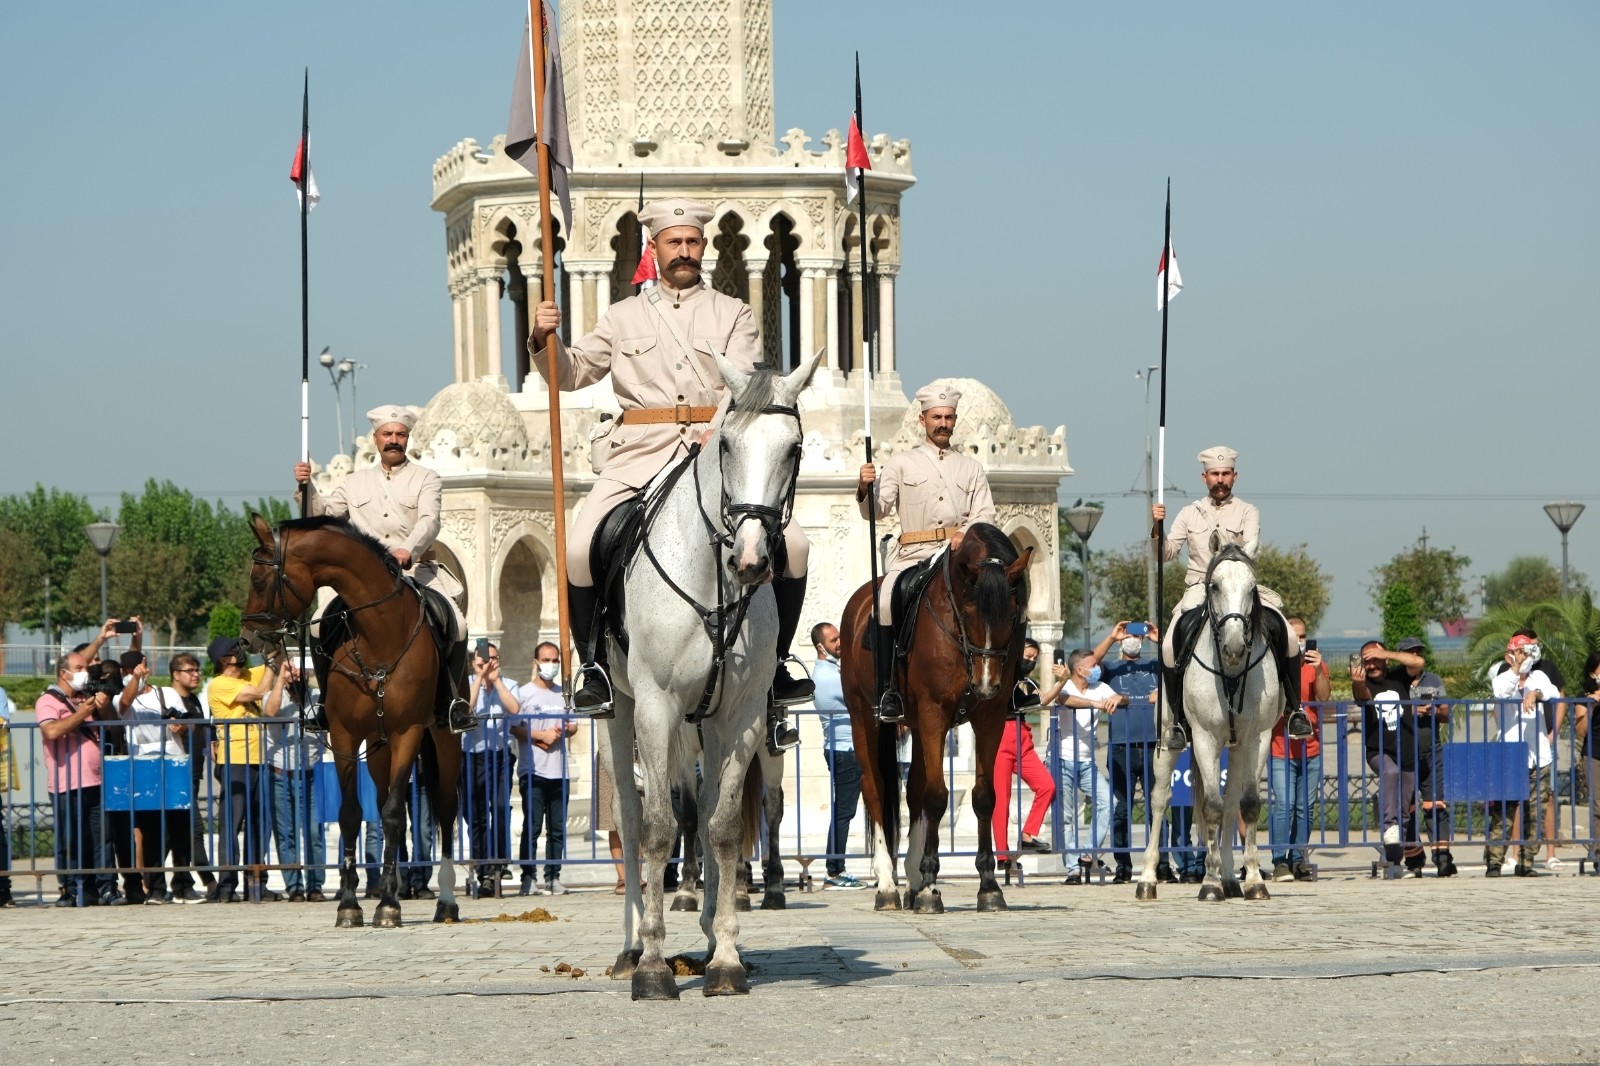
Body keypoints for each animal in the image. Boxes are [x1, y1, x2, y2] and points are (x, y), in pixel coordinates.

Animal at [236, 512, 467, 921]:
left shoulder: (408, 732)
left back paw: (445, 901)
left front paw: (388, 905)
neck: (380, 634)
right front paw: (349, 903)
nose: (248, 639)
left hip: (443, 737)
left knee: (444, 807)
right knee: (384, 800)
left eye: (259, 579)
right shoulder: (345, 735)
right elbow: (351, 813)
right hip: (377, 745)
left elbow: (394, 814)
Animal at [601, 352, 819, 992]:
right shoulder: (655, 707)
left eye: (794, 448)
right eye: (725, 443)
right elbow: (656, 826)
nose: (750, 558)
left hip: (712, 726)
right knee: (631, 814)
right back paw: (631, 947)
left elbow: (721, 826)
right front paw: (653, 966)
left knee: (708, 812)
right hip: (620, 712)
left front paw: (724, 957)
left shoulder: (743, 716)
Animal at [844, 518, 1030, 909]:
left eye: (1011, 614)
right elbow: (936, 795)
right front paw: (931, 886)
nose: (986, 684)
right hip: (862, 717)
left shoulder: (989, 718)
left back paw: (911, 881)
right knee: (875, 788)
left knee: (913, 789)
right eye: (969, 611)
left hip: (915, 724)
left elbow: (982, 796)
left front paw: (989, 885)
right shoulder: (934, 714)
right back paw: (888, 885)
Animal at [1132, 541, 1280, 896]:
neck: (1231, 673)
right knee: (1160, 800)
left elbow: (1248, 804)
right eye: (1214, 586)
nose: (1234, 647)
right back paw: (1148, 879)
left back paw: (1229, 878)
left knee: (1231, 801)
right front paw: (1209, 884)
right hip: (1167, 743)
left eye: (1252, 588)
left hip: (1237, 747)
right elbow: (1210, 806)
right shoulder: (1204, 737)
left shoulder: (1259, 737)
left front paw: (1253, 881)